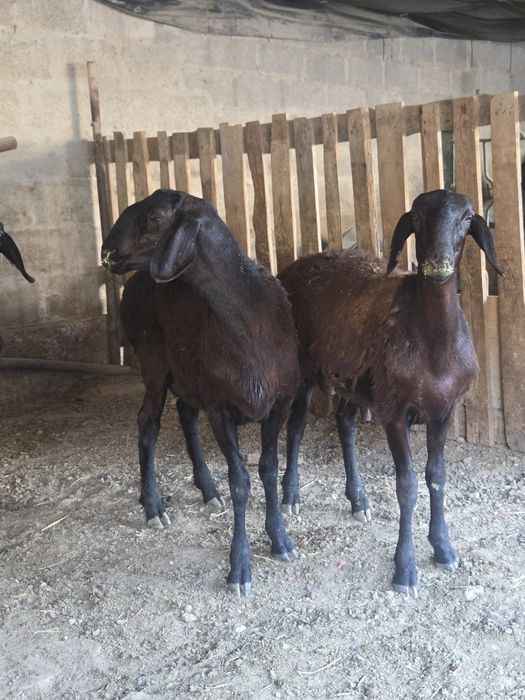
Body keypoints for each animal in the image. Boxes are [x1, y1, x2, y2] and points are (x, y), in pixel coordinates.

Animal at [101, 189, 300, 596]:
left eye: (156, 217)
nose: (107, 251)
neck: (247, 320)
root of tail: (136, 283)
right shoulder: (220, 407)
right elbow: (240, 481)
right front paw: (240, 568)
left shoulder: (279, 404)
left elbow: (268, 469)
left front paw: (280, 541)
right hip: (154, 363)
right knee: (148, 422)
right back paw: (153, 507)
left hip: (189, 373)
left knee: (185, 415)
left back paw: (207, 491)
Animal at [278, 189, 503, 596]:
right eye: (416, 217)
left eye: (466, 218)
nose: (436, 265)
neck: (434, 345)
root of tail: (295, 265)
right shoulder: (395, 413)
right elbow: (407, 486)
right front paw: (405, 570)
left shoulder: (444, 411)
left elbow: (437, 477)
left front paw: (444, 549)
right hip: (303, 369)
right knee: (297, 427)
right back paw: (290, 496)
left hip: (353, 380)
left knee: (345, 425)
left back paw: (358, 500)